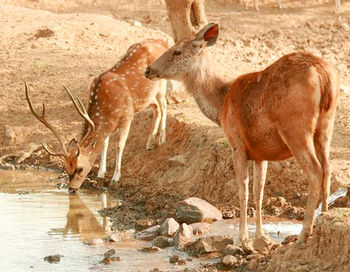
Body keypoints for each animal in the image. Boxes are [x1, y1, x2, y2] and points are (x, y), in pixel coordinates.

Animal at [26, 39, 170, 192]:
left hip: (162, 85)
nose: (72, 189)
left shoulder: (127, 116)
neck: (107, 108)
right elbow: (105, 144)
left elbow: (119, 144)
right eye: (66, 169)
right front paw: (101, 173)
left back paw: (162, 139)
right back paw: (149, 144)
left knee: (164, 105)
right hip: (148, 97)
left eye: (80, 169)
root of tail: (163, 42)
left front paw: (115, 177)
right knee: (157, 108)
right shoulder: (110, 124)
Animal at [145, 23, 340, 244]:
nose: (148, 69)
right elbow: (259, 192)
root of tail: (322, 74)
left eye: (176, 51)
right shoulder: (260, 153)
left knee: (316, 171)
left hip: (296, 128)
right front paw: (260, 235)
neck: (221, 104)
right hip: (326, 125)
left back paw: (304, 233)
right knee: (328, 169)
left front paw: (242, 238)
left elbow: (243, 191)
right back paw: (322, 220)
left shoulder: (236, 143)